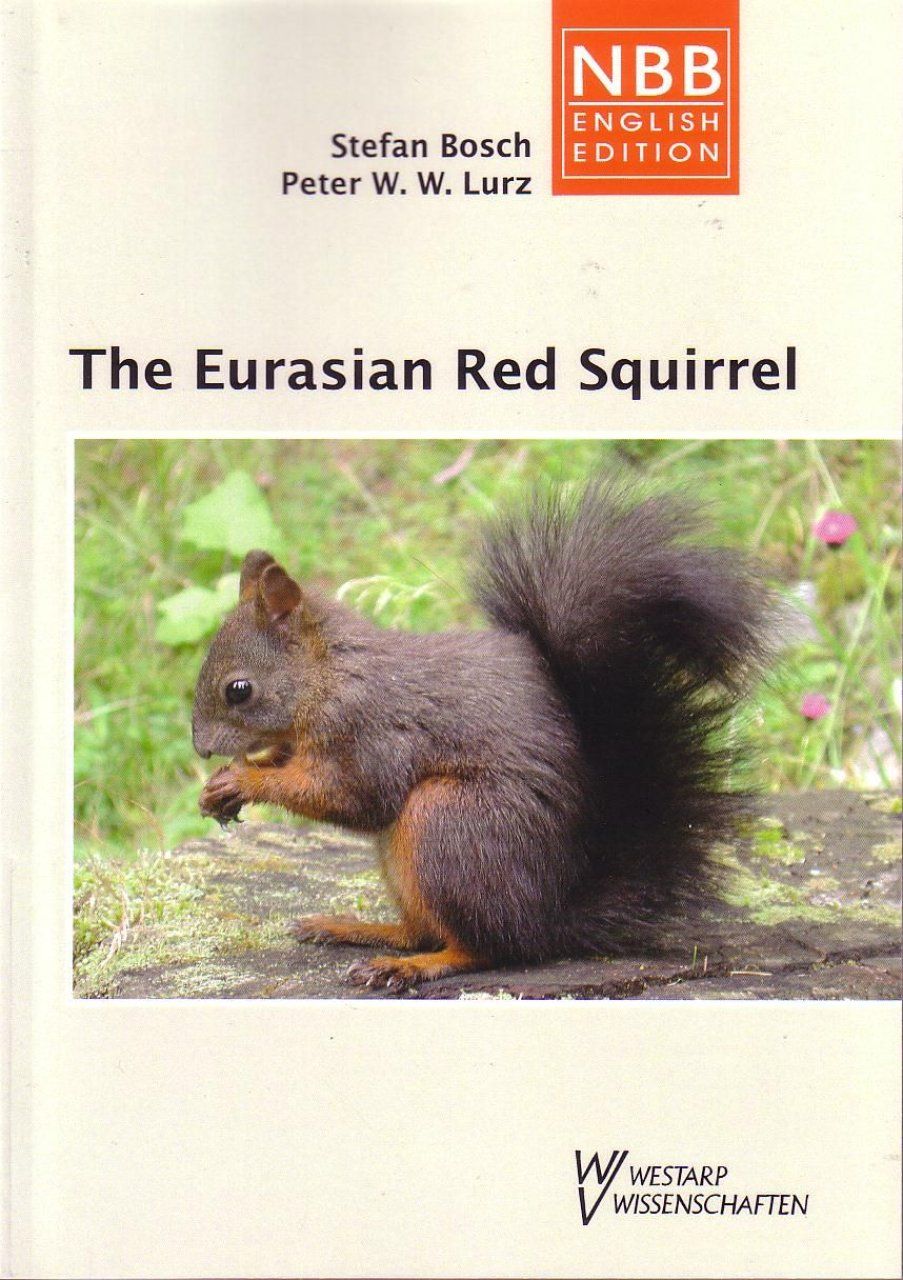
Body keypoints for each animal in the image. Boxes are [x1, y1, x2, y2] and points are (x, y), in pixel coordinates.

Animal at [192, 480, 774, 992]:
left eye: (238, 690)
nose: (200, 747)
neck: (328, 675)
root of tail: (547, 918)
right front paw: (223, 782)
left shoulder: (369, 730)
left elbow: (355, 796)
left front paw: (244, 780)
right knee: (420, 930)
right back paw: (356, 928)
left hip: (446, 822)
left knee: (485, 949)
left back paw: (412, 966)